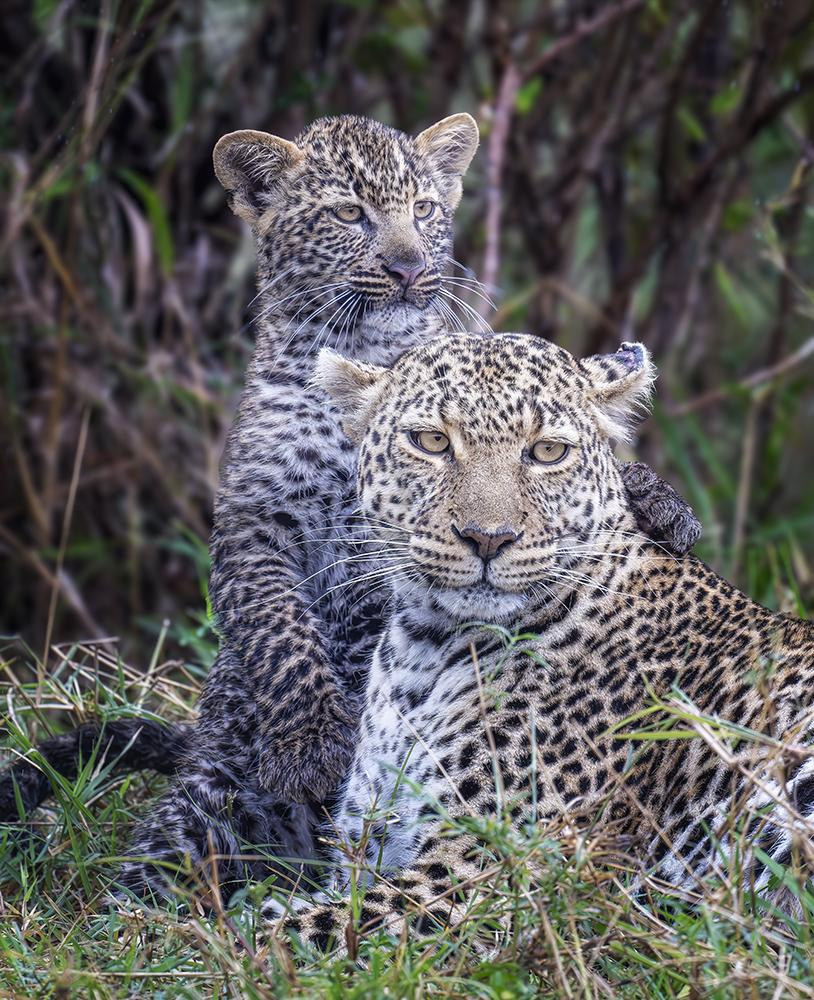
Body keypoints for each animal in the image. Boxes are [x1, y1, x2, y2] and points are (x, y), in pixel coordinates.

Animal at [276, 332, 814, 948]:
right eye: (432, 441)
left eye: (548, 452)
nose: (488, 538)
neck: (424, 653)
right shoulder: (367, 849)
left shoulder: (488, 870)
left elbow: (288, 934)